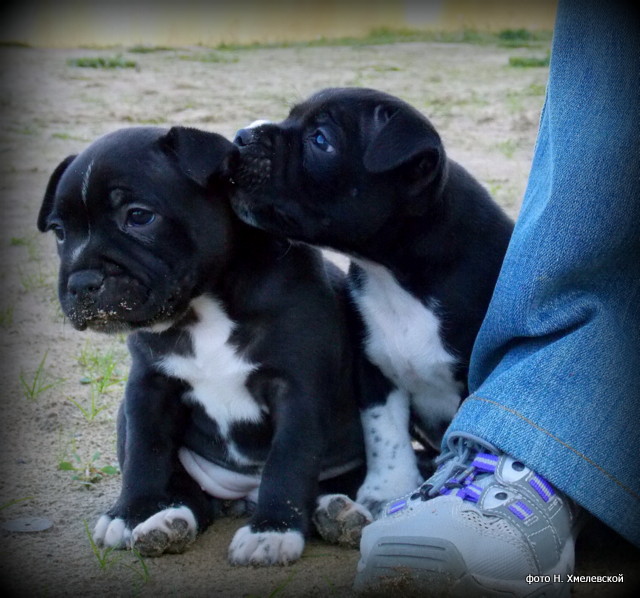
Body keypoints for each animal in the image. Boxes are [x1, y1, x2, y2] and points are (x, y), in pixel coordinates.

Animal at [37, 126, 368, 564]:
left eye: (139, 217)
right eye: (59, 232)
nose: (81, 282)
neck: (202, 306)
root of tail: (242, 497)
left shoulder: (298, 393)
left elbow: (289, 462)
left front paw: (273, 530)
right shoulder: (149, 387)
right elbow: (144, 453)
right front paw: (131, 513)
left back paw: (337, 512)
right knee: (188, 492)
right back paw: (165, 522)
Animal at [230, 87, 514, 522]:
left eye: (320, 140)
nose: (242, 136)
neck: (395, 274)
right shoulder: (375, 366)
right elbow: (385, 433)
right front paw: (388, 491)